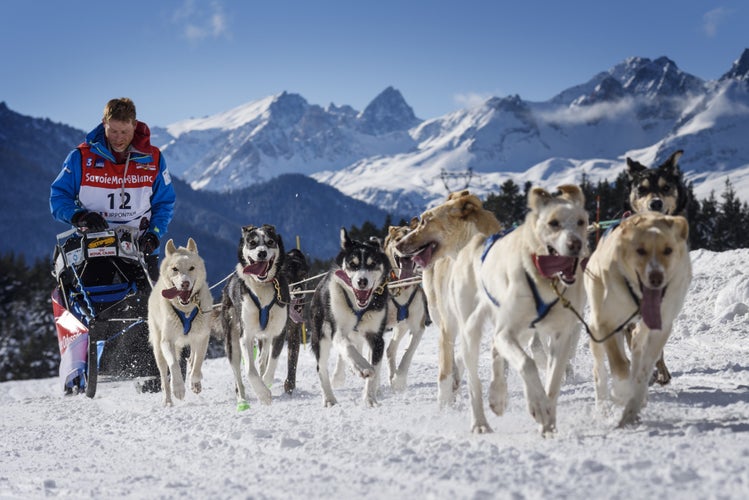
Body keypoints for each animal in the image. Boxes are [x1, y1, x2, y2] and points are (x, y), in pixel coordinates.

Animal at [146, 238, 212, 406]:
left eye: (191, 268)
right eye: (175, 269)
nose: (185, 283)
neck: (186, 309)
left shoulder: (202, 337)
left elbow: (197, 363)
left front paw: (194, 381)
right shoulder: (167, 341)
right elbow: (174, 364)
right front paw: (178, 388)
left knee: (192, 358)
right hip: (158, 348)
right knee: (164, 375)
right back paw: (168, 400)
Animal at [218, 224, 288, 410]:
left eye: (270, 242)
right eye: (252, 243)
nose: (262, 253)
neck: (261, 286)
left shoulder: (279, 333)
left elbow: (271, 364)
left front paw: (266, 385)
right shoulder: (246, 335)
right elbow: (249, 369)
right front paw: (262, 393)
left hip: (265, 338)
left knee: (263, 360)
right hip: (231, 341)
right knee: (238, 374)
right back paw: (242, 400)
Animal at [310, 229, 392, 408]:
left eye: (372, 263)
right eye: (352, 264)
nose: (362, 281)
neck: (358, 307)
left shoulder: (376, 338)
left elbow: (375, 370)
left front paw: (369, 398)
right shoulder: (337, 332)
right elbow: (348, 348)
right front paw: (361, 367)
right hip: (321, 336)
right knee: (321, 367)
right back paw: (329, 398)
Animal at [584, 211, 688, 426]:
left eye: (668, 250)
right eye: (640, 250)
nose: (656, 277)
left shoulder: (659, 328)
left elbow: (644, 368)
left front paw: (634, 405)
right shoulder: (605, 324)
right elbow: (619, 365)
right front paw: (622, 392)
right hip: (598, 332)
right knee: (600, 370)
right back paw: (604, 405)